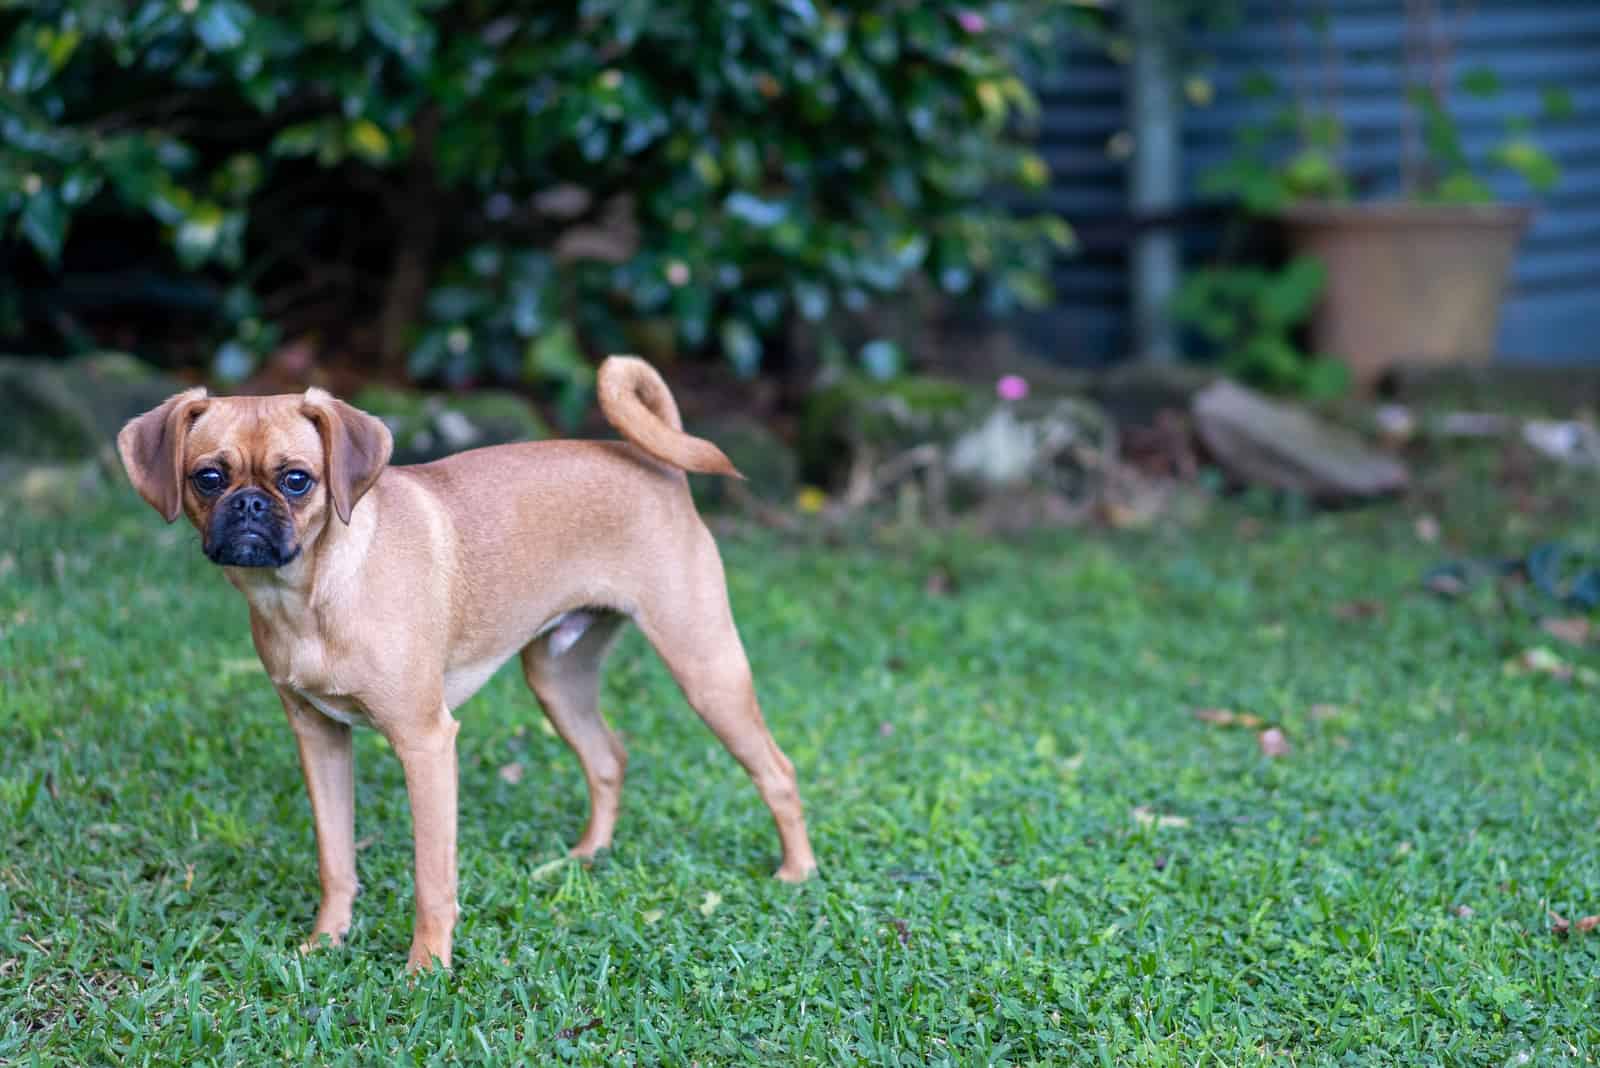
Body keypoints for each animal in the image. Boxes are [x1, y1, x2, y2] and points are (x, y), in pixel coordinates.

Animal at [116, 358, 812, 965]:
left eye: (296, 480)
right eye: (208, 478)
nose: (251, 506)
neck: (307, 595)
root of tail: (658, 469)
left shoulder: (425, 744)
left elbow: (432, 879)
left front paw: (426, 967)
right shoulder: (319, 737)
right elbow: (336, 860)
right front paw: (326, 941)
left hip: (706, 669)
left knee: (778, 771)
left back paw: (797, 873)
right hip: (558, 680)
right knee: (609, 759)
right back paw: (587, 857)